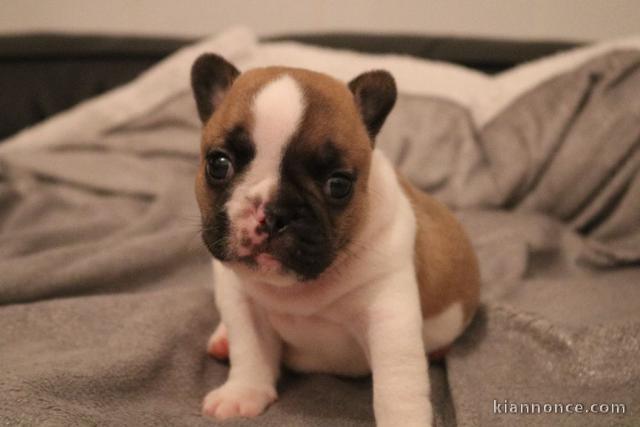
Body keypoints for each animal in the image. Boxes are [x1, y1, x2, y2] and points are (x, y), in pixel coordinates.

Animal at [190, 53, 480, 427]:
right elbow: (250, 352)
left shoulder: (390, 316)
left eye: (338, 184)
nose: (276, 212)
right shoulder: (241, 302)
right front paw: (243, 394)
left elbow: (397, 383)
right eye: (218, 163)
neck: (297, 290)